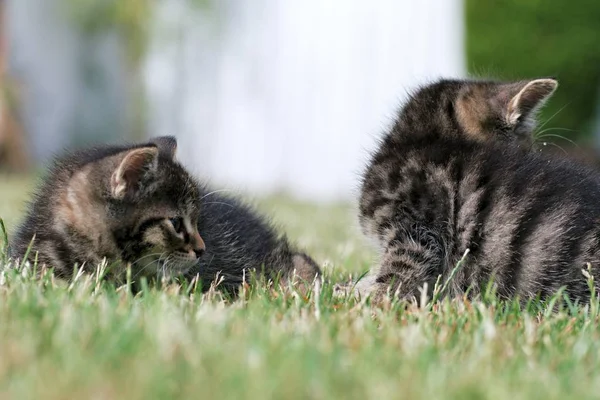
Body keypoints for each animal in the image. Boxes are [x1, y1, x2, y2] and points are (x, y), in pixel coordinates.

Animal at [350, 76, 600, 304]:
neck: (420, 140)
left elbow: (393, 281)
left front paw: (365, 302)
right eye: (524, 150)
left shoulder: (416, 236)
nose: (531, 158)